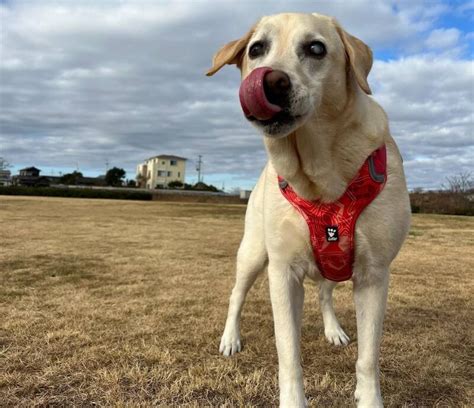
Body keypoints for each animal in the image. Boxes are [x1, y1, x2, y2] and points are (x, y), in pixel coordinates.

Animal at [207, 12, 412, 408]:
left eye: (316, 48)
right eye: (256, 49)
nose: (270, 80)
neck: (320, 176)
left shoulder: (374, 275)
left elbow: (368, 358)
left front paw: (368, 398)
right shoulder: (283, 273)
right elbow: (289, 355)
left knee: (325, 292)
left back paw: (333, 329)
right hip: (253, 252)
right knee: (236, 295)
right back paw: (230, 338)